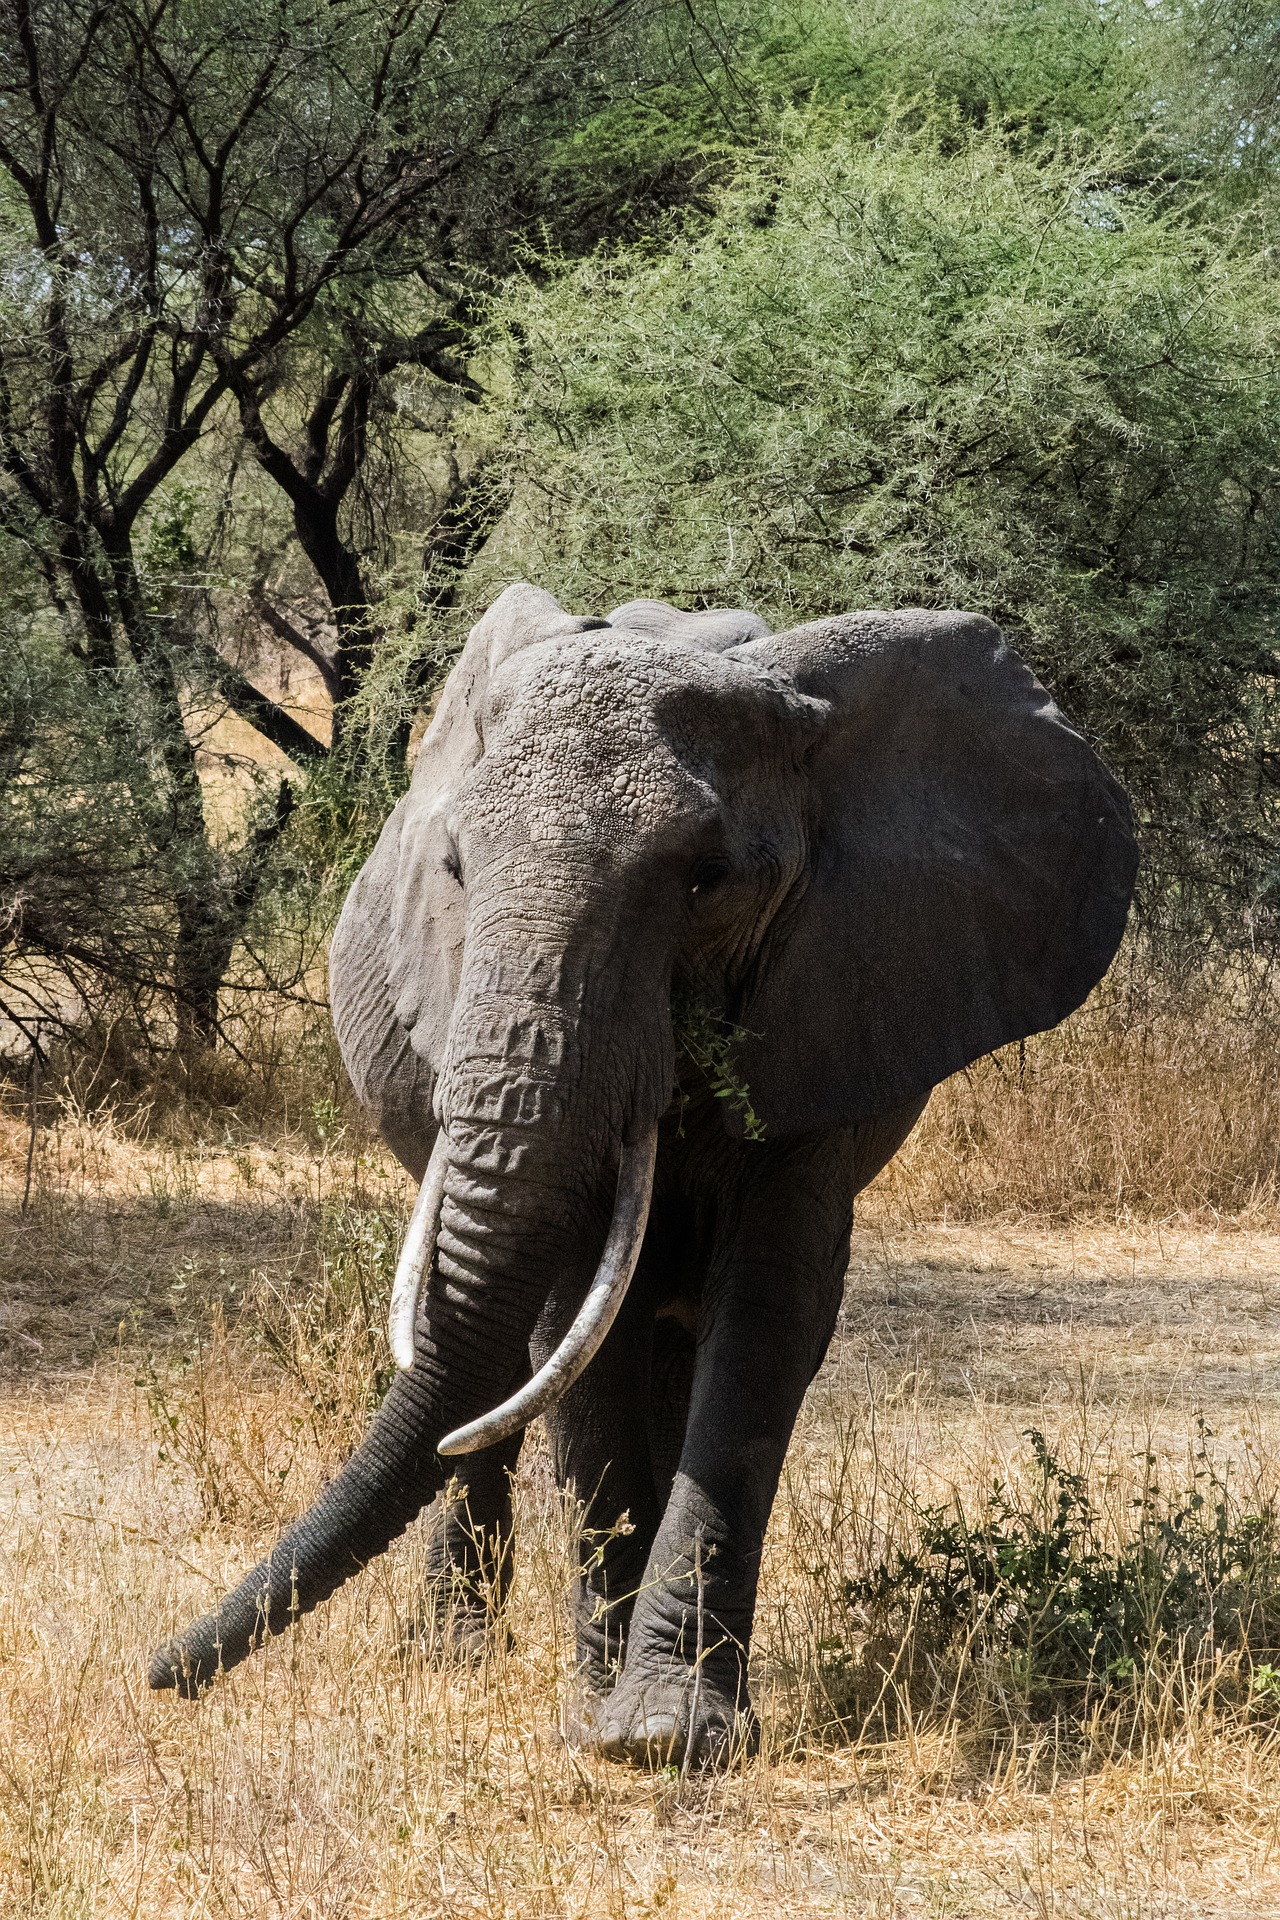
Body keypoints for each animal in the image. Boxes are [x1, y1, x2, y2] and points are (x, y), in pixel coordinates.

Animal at [149, 584, 1137, 1765]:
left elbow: (765, 1320)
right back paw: (449, 1654)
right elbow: (575, 1333)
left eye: (708, 882)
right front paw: (600, 1713)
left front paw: (663, 1730)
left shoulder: (832, 1012)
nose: (156, 1674)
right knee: (492, 1374)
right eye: (455, 871)